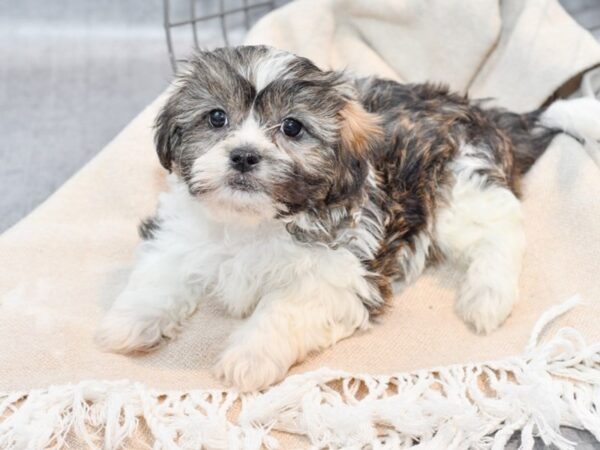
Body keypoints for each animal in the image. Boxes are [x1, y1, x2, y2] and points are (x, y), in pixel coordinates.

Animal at [96, 44, 600, 390]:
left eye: (292, 128)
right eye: (216, 118)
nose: (243, 156)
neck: (254, 222)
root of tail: (485, 114)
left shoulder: (339, 274)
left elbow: (285, 309)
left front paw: (250, 356)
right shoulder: (180, 232)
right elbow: (161, 272)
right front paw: (130, 322)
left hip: (458, 184)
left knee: (499, 229)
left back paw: (487, 296)